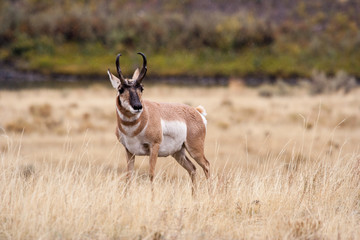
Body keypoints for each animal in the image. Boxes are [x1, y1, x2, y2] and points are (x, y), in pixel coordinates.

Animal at [107, 53, 210, 189]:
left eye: (141, 88)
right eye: (120, 89)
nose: (138, 106)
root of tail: (196, 111)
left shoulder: (154, 147)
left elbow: (151, 174)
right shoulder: (129, 151)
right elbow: (129, 177)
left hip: (195, 149)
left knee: (206, 165)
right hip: (178, 152)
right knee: (192, 169)